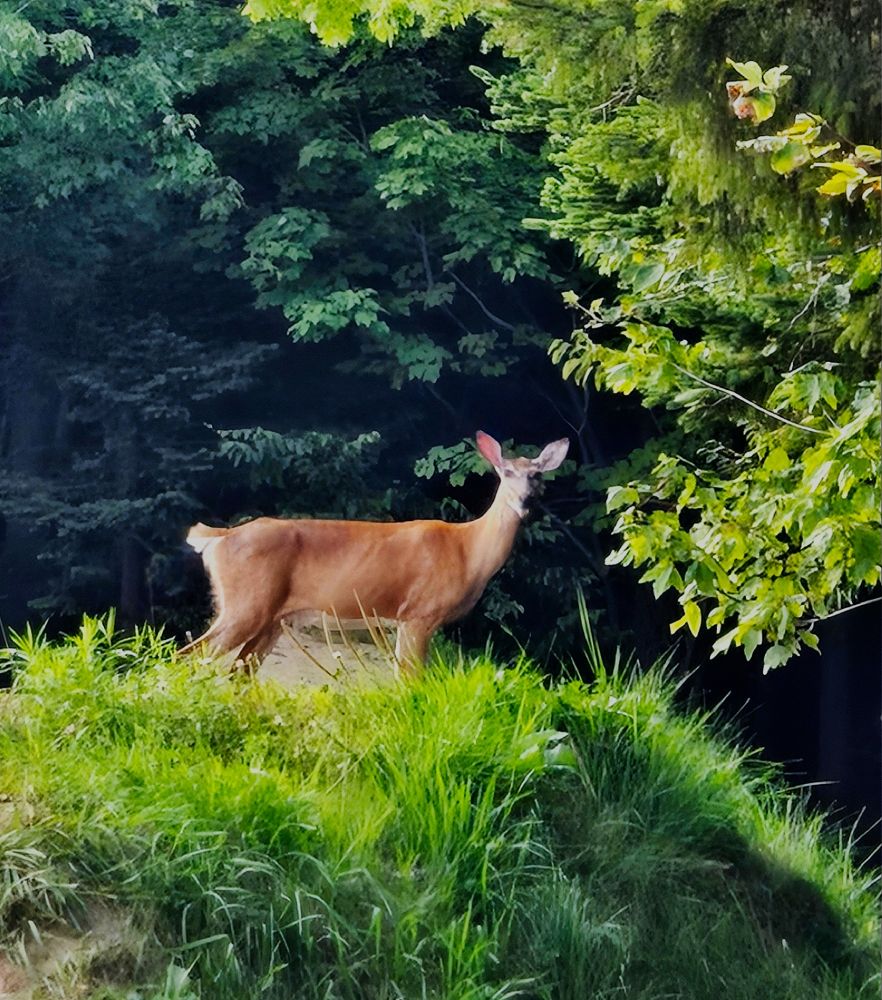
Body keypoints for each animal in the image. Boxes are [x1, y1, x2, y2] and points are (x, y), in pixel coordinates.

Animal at [180, 431, 569, 675]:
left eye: (537, 476)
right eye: (506, 472)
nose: (525, 502)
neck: (468, 552)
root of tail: (218, 537)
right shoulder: (418, 613)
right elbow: (410, 680)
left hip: (272, 618)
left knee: (237, 673)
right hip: (246, 603)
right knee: (187, 658)